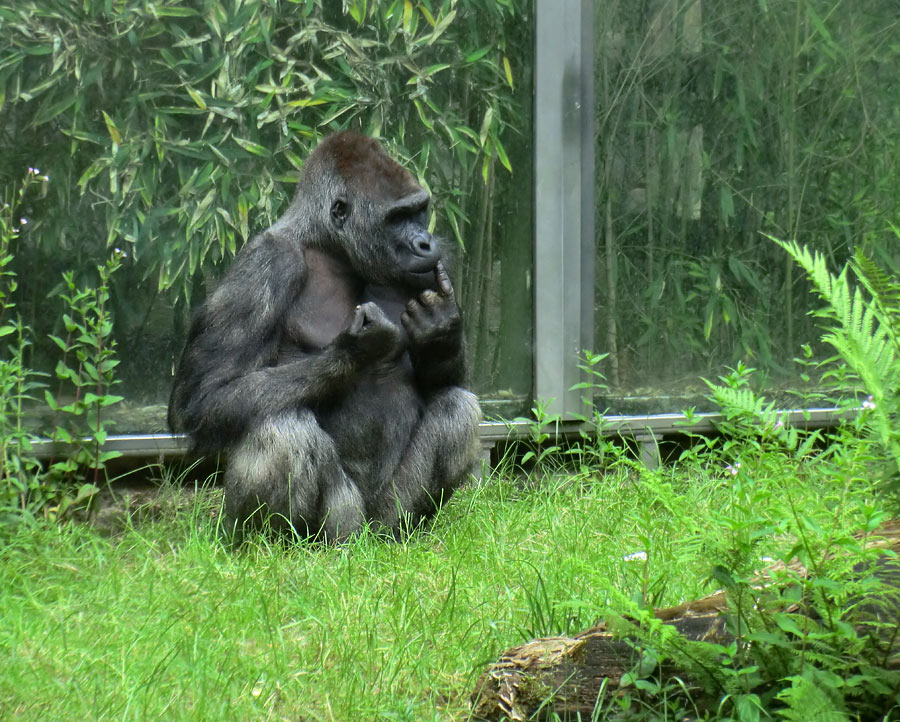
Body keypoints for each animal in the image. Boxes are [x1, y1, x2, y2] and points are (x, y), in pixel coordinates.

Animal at [166, 131, 482, 540]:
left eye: (419, 211)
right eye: (397, 218)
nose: (426, 243)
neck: (329, 246)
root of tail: (362, 539)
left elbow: (444, 382)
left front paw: (438, 327)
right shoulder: (266, 262)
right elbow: (203, 396)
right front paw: (353, 350)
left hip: (381, 520)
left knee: (458, 408)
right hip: (337, 529)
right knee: (281, 427)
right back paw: (274, 544)